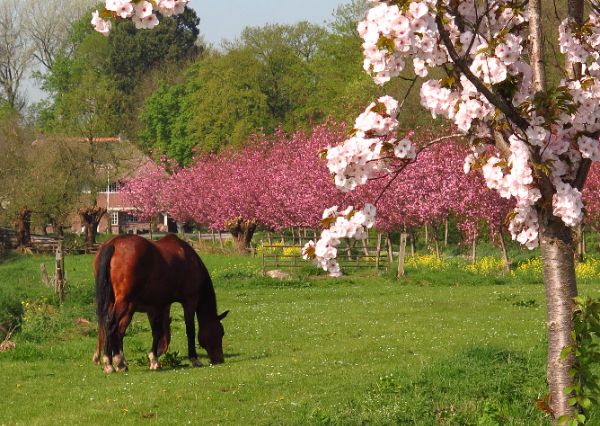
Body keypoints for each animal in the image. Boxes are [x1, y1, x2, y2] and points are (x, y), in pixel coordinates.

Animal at [92, 233, 229, 372]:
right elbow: (190, 330)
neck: (189, 259)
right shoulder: (189, 301)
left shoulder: (159, 306)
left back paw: (114, 362)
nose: (220, 359)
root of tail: (113, 244)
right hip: (124, 302)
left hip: (112, 302)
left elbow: (157, 332)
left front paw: (154, 359)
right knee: (111, 325)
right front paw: (194, 359)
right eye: (220, 332)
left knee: (107, 327)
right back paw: (113, 363)